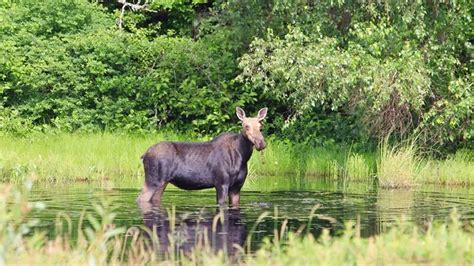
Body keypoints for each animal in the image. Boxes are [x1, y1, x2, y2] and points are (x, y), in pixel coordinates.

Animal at [136, 107, 266, 207]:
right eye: (246, 126)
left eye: (260, 127)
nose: (261, 143)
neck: (242, 156)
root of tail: (144, 155)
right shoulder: (221, 183)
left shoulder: (237, 187)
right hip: (153, 180)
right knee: (140, 198)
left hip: (163, 182)